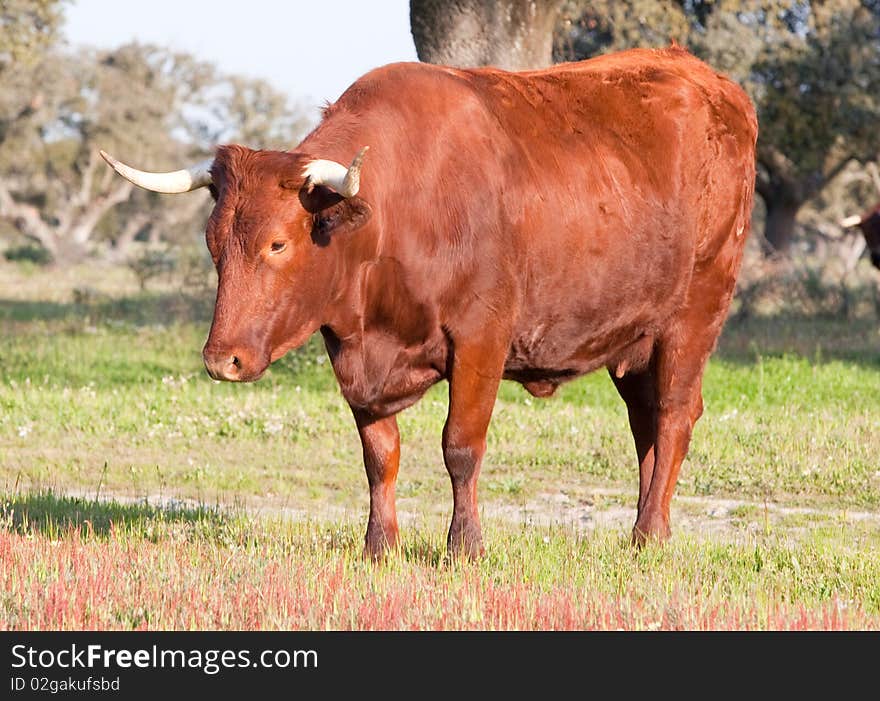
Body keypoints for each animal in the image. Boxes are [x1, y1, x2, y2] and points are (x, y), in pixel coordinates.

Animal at [101, 45, 756, 556]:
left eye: (278, 243)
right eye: (213, 243)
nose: (222, 360)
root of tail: (711, 82)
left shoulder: (481, 339)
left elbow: (460, 447)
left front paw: (464, 546)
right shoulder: (353, 354)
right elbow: (379, 453)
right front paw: (379, 544)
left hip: (695, 312)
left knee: (672, 415)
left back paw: (649, 535)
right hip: (634, 337)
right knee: (646, 423)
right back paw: (649, 526)